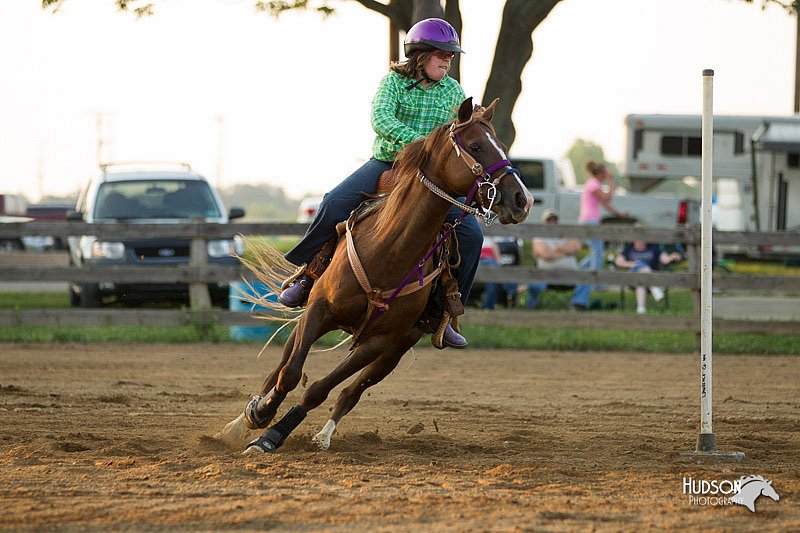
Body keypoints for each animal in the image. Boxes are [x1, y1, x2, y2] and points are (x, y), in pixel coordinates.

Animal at [216, 96, 536, 454]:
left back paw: (324, 435)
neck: (388, 250)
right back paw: (244, 418)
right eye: (477, 146)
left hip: (396, 348)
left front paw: (272, 435)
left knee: (350, 392)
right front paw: (259, 417)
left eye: (503, 146)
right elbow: (291, 372)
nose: (522, 199)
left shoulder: (379, 340)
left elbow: (320, 390)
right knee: (281, 366)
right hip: (311, 315)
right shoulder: (318, 310)